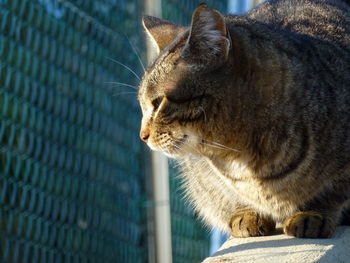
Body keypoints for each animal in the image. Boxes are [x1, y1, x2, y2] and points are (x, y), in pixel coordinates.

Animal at [137, 0, 350, 239]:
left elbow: (332, 193)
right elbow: (228, 196)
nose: (142, 135)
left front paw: (313, 214)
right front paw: (248, 214)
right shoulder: (206, 178)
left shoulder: (342, 174)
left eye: (158, 102)